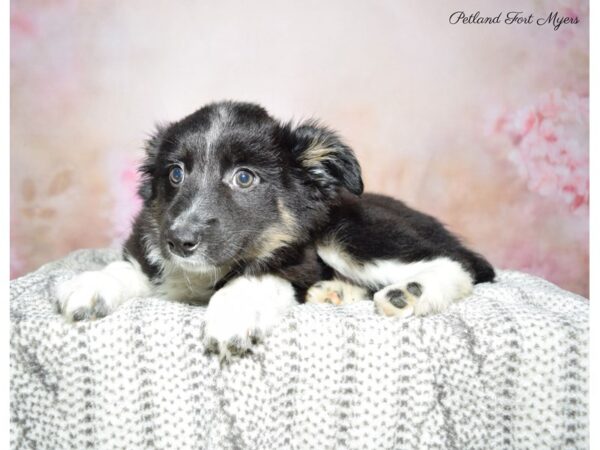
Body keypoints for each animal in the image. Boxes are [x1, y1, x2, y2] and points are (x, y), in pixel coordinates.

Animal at [57, 101, 496, 358]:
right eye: (176, 174)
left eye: (244, 178)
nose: (180, 242)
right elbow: (128, 268)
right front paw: (89, 285)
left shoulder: (297, 260)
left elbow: (253, 277)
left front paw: (232, 314)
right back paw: (336, 292)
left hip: (347, 232)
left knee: (458, 262)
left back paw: (409, 293)